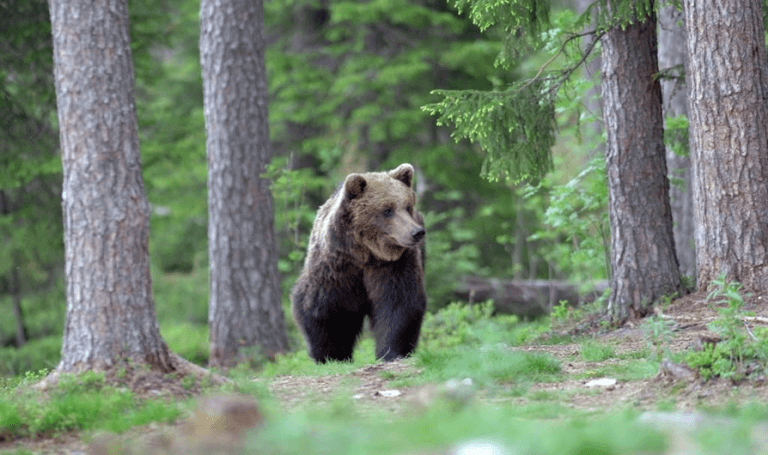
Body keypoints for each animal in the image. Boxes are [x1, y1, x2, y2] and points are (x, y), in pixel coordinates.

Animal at [292, 164, 428, 364]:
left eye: (407, 206)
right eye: (387, 209)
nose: (416, 232)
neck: (365, 254)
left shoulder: (394, 265)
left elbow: (398, 303)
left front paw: (391, 352)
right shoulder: (334, 269)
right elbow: (322, 309)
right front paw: (331, 355)